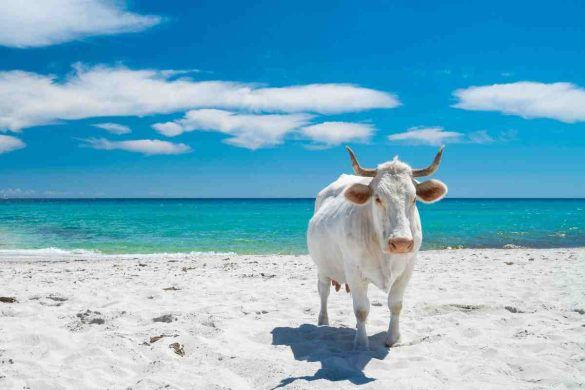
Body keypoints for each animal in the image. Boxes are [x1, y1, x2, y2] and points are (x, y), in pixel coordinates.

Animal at [306, 148, 448, 348]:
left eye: (414, 199)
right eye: (378, 198)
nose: (401, 242)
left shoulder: (407, 269)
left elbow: (395, 304)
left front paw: (394, 338)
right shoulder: (353, 270)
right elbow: (361, 309)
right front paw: (361, 342)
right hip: (322, 266)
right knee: (323, 290)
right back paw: (323, 321)